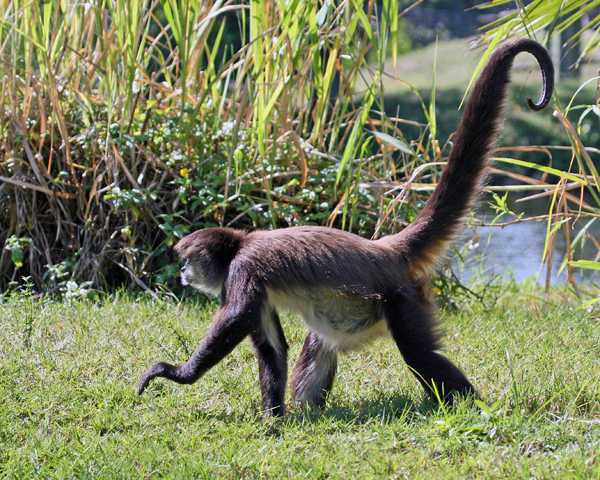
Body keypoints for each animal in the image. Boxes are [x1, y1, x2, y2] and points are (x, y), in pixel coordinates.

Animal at [136, 39, 552, 416]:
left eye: (188, 259)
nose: (183, 273)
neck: (240, 243)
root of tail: (384, 249)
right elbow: (272, 347)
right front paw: (273, 419)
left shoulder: (244, 270)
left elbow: (235, 318)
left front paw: (176, 374)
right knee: (320, 343)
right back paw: (310, 411)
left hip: (402, 299)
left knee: (420, 354)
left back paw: (471, 407)